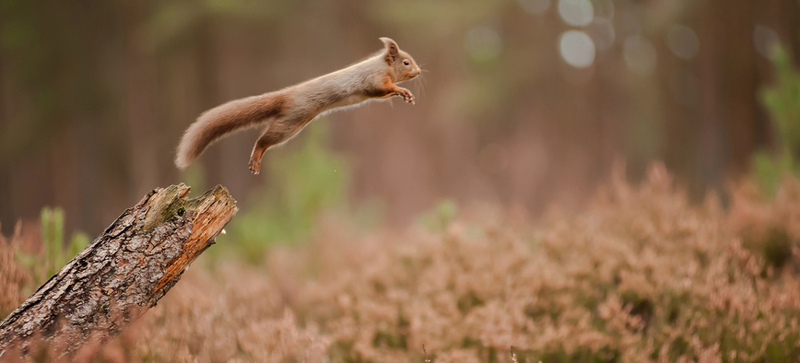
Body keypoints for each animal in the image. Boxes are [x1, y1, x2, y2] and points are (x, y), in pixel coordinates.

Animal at [174, 37, 422, 175]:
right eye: (406, 62)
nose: (419, 71)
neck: (383, 66)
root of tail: (287, 95)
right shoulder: (373, 80)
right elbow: (382, 88)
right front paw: (402, 91)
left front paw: (405, 94)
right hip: (291, 121)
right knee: (264, 140)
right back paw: (256, 158)